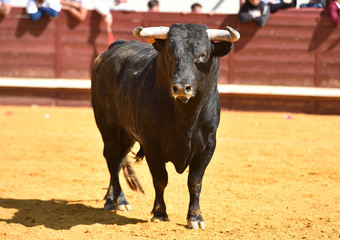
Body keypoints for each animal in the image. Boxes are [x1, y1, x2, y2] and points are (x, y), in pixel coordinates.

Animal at [90, 23, 239, 229]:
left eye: (202, 55)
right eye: (170, 54)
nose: (182, 88)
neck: (186, 116)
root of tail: (114, 47)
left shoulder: (207, 146)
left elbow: (195, 181)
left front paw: (195, 218)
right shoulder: (152, 145)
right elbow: (160, 179)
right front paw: (160, 213)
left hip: (127, 133)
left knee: (118, 160)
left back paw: (110, 198)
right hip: (109, 126)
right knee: (111, 159)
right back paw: (120, 201)